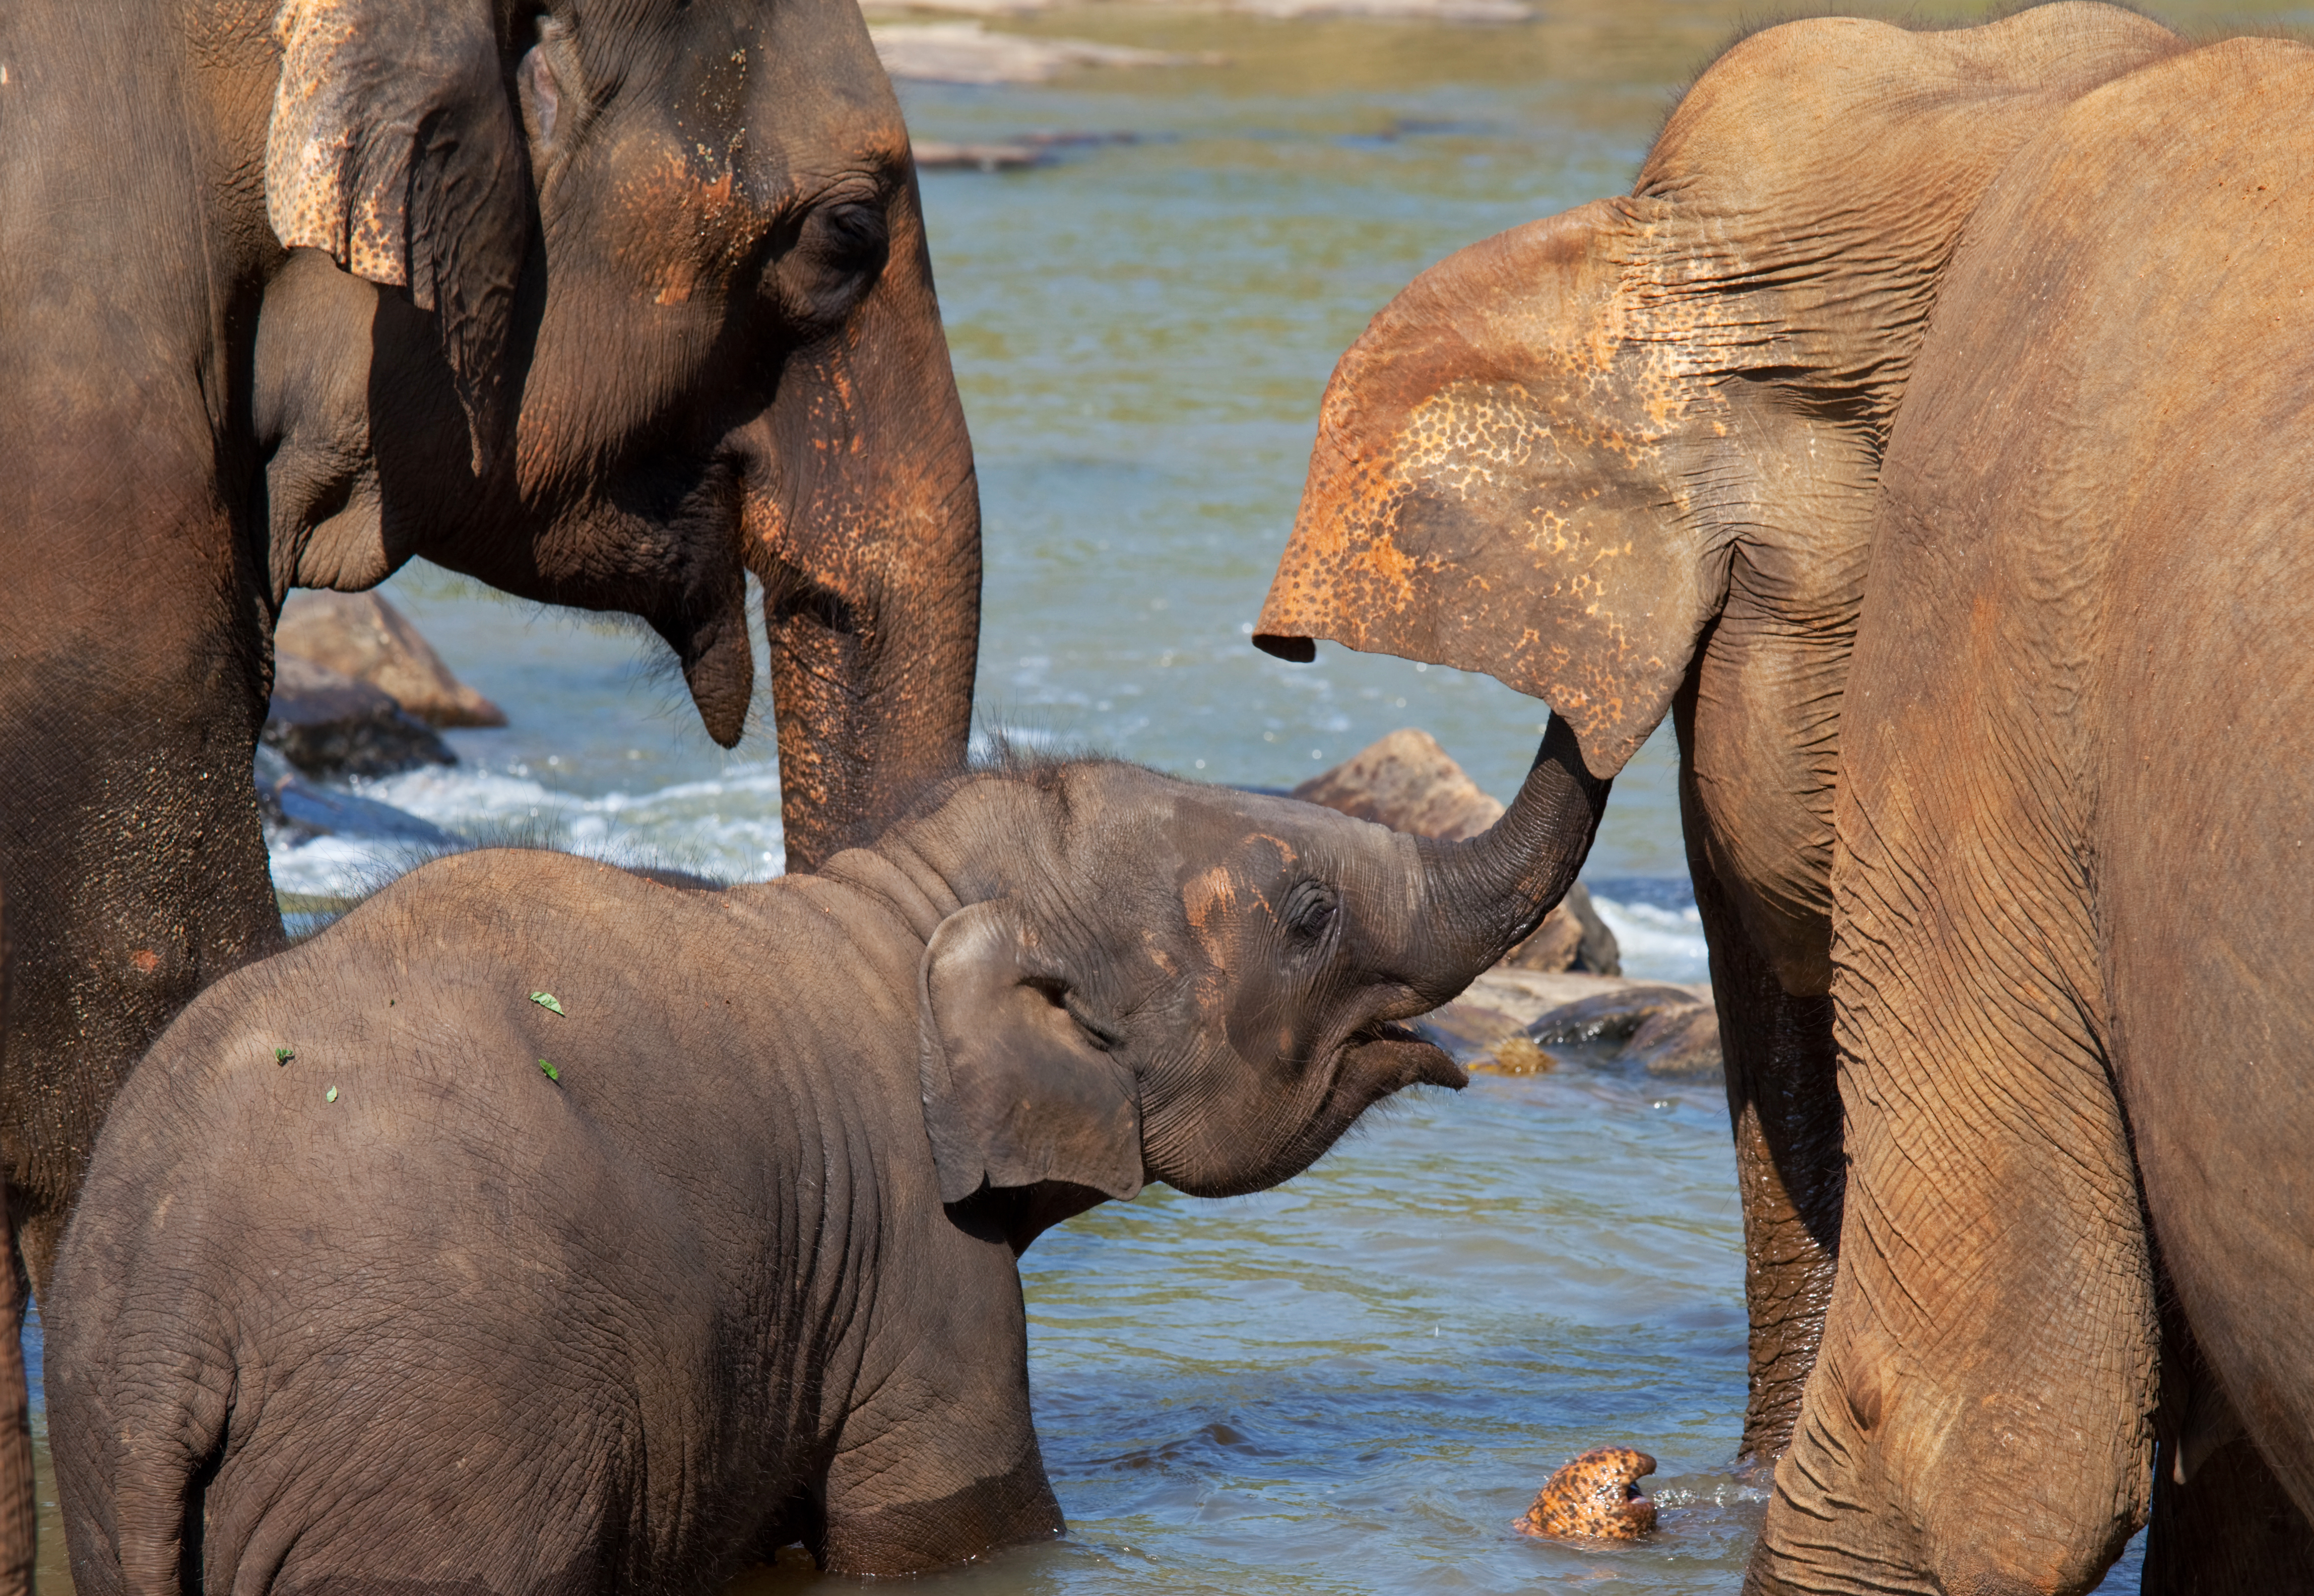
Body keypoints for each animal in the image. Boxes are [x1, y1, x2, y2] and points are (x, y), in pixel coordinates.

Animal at [46, 725, 1605, 1589]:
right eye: (1307, 914)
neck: (898, 902)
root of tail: (170, 1321)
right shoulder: (923, 1264)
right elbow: (954, 1523)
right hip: (432, 1456)